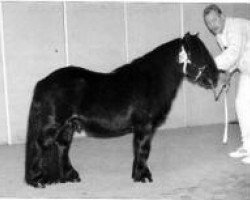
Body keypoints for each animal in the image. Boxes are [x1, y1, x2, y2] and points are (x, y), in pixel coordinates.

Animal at [24, 32, 218, 188]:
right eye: (200, 54)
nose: (216, 77)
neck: (151, 80)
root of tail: (44, 83)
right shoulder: (145, 126)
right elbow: (143, 149)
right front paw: (143, 176)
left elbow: (139, 150)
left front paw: (137, 174)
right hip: (54, 125)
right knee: (40, 145)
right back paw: (36, 180)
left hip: (67, 126)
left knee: (62, 147)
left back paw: (70, 176)